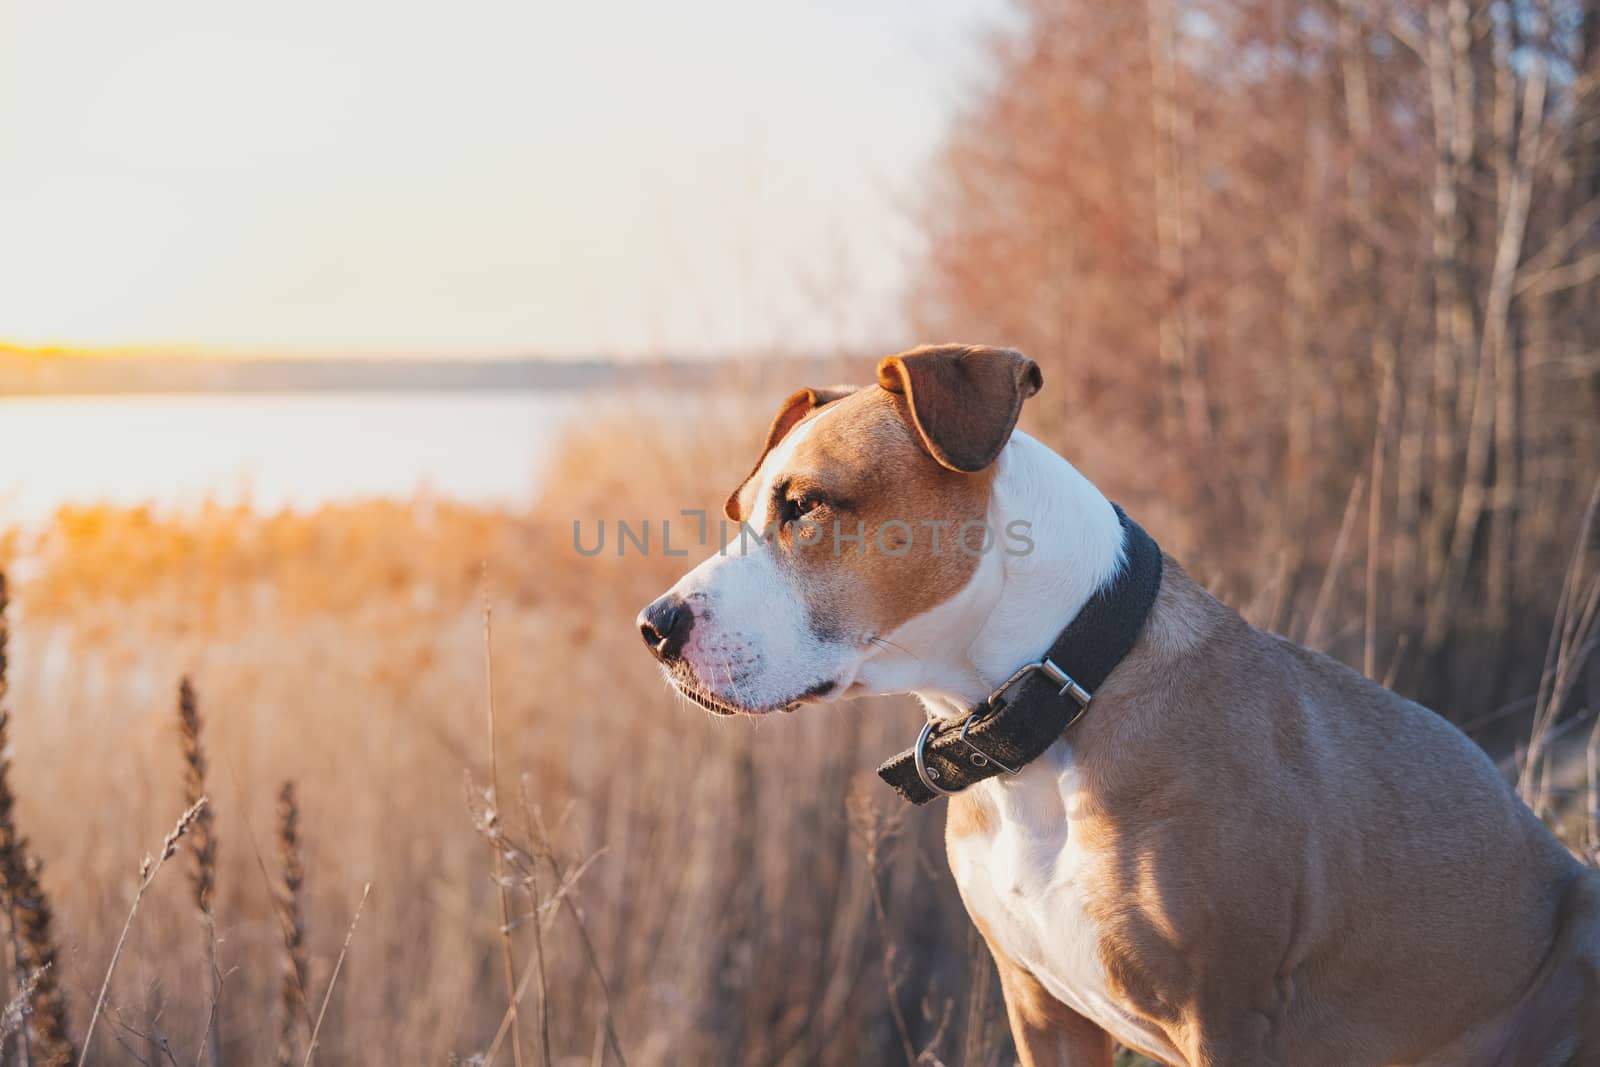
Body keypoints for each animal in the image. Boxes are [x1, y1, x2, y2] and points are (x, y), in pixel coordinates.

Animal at [636, 347, 1600, 1062]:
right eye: (739, 509)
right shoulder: (1040, 1006)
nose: (654, 625)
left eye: (805, 504)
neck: (1044, 710)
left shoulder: (1227, 1013)